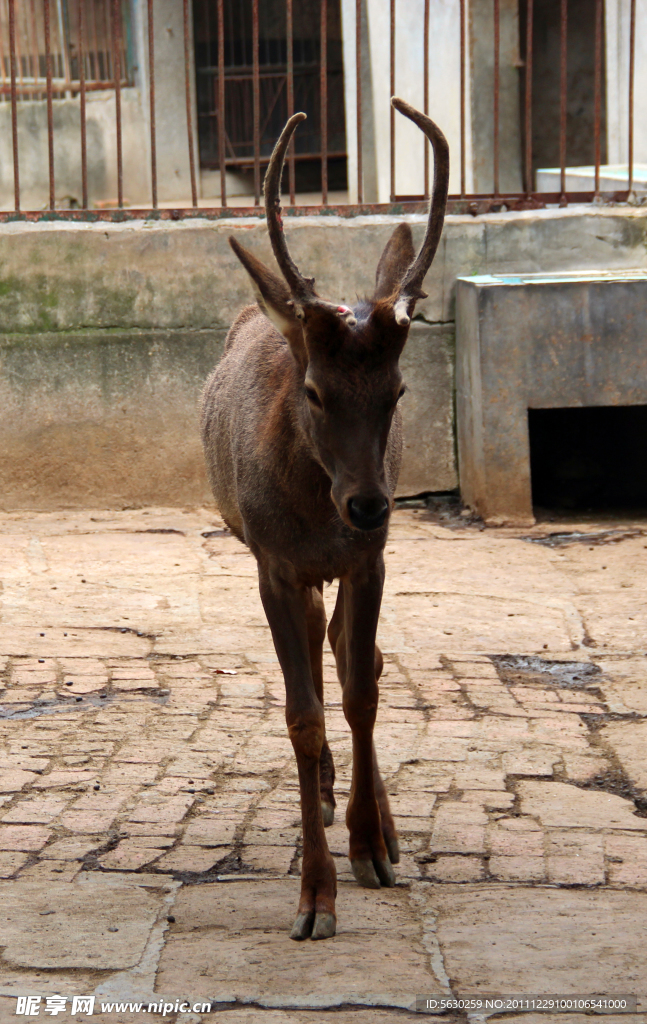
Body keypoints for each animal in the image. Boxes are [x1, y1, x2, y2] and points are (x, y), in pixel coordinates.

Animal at [202, 99, 450, 937]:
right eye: (313, 390)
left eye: (398, 390)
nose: (368, 503)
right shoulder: (275, 565)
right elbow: (302, 715)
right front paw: (314, 896)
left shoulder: (369, 559)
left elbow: (361, 684)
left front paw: (371, 848)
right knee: (314, 657)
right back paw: (325, 792)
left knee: (348, 655)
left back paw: (376, 821)